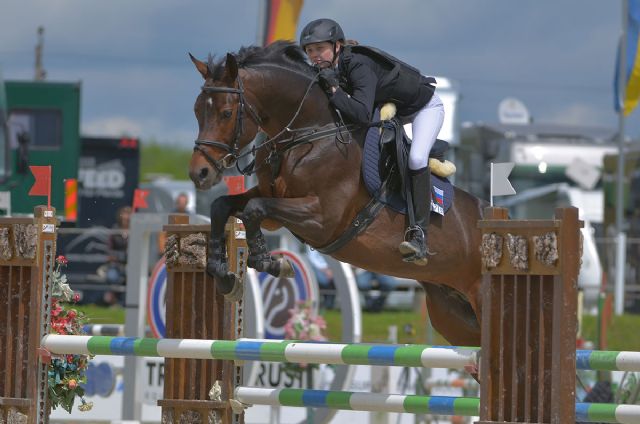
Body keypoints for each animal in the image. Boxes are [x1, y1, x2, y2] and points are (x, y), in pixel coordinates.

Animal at [188, 41, 488, 350]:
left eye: (226, 113)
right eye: (197, 111)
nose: (199, 173)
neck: (311, 131)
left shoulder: (323, 219)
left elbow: (255, 209)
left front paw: (270, 262)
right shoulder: (274, 208)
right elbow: (222, 205)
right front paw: (222, 273)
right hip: (452, 315)